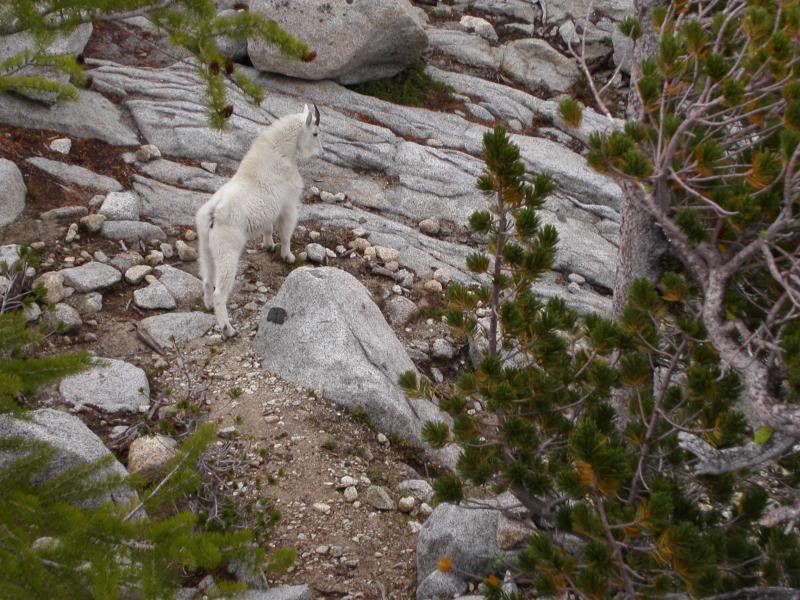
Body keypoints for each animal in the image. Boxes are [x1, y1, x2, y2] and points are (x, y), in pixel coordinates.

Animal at [195, 104, 322, 338]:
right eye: (315, 133)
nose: (320, 153)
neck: (280, 154)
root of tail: (212, 214)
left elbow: (268, 228)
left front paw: (269, 245)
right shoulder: (289, 204)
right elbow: (286, 232)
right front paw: (288, 256)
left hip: (205, 248)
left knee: (207, 279)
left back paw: (207, 306)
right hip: (227, 251)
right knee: (220, 291)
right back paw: (227, 328)